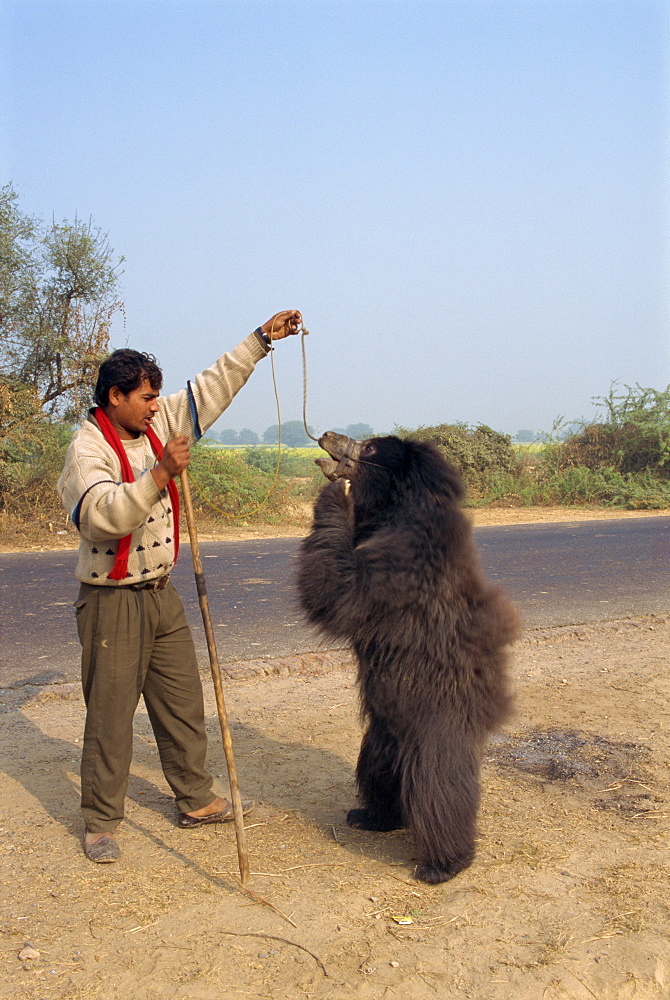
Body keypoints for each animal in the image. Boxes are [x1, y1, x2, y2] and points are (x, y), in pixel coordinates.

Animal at [296, 430, 524, 884]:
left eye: (368, 448)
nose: (327, 435)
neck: (399, 508)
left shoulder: (396, 565)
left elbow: (338, 587)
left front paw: (335, 494)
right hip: (384, 733)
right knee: (379, 772)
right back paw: (371, 816)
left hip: (434, 727)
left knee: (438, 793)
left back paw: (442, 864)